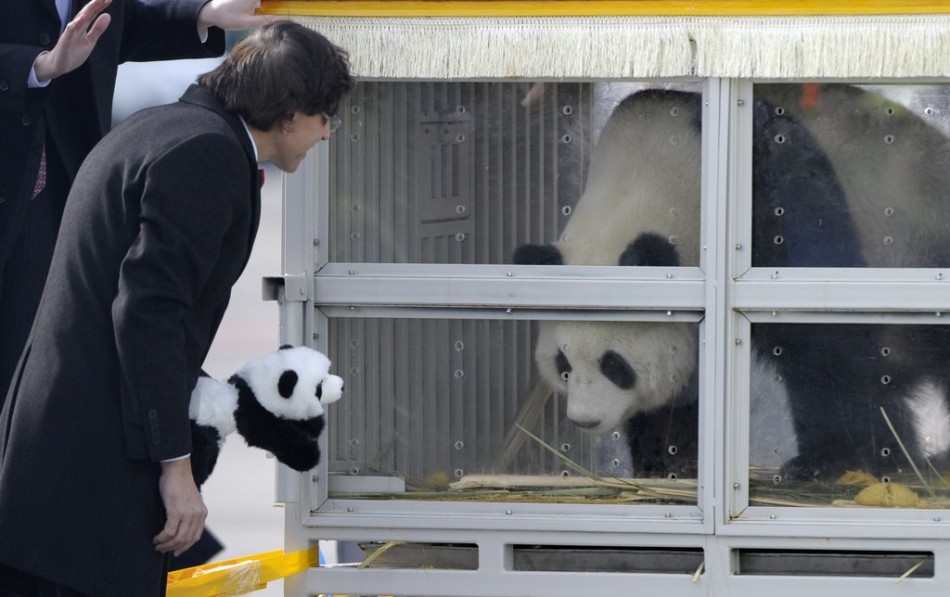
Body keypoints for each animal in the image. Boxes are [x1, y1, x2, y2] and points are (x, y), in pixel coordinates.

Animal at [516, 86, 950, 480]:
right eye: (563, 365)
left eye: (614, 365)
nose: (585, 421)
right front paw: (665, 459)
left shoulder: (778, 199)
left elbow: (824, 343)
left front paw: (829, 460)